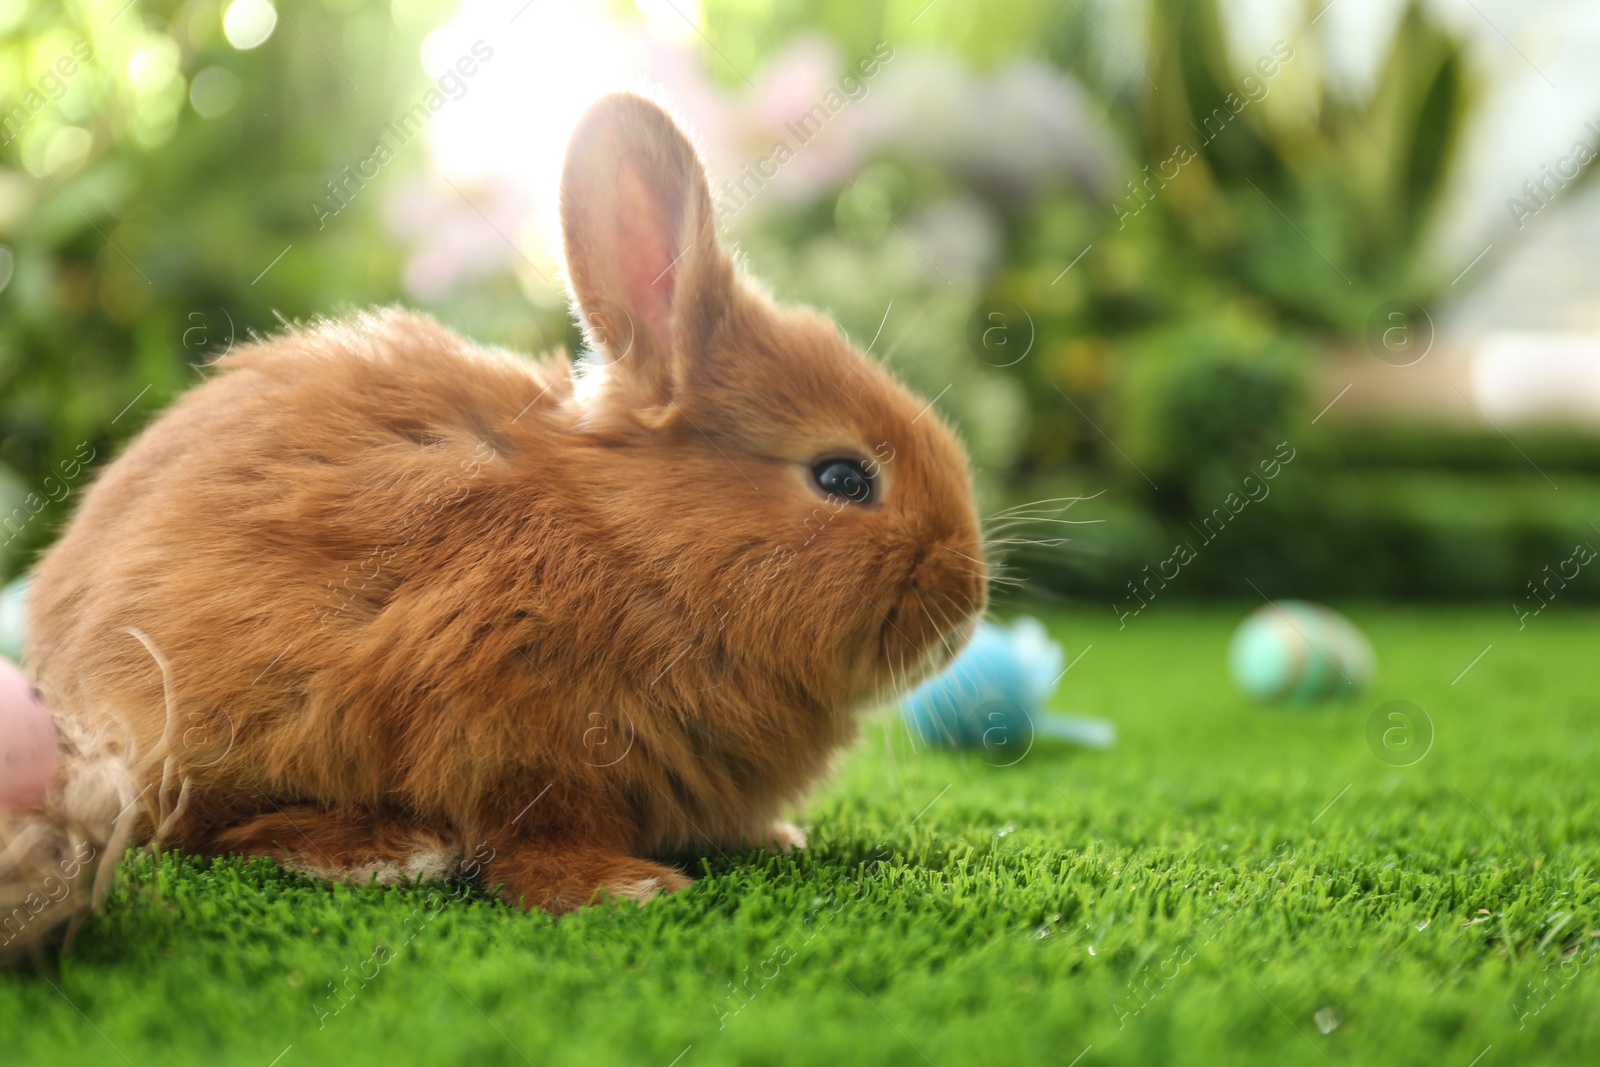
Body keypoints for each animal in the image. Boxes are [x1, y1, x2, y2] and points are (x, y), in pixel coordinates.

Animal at [12, 93, 979, 927]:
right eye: (844, 478)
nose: (969, 603)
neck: (633, 547)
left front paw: (776, 838)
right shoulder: (505, 733)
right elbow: (533, 836)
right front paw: (623, 888)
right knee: (189, 826)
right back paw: (381, 850)